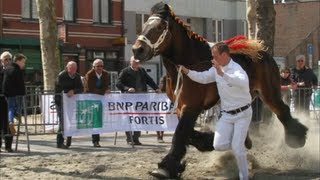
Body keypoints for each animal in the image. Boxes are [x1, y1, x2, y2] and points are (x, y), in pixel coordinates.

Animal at [132, 2, 308, 179]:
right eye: (144, 24)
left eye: (160, 26)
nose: (137, 50)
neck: (190, 62)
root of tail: (262, 51)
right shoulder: (181, 107)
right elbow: (189, 134)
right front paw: (204, 144)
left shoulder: (191, 107)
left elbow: (180, 133)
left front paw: (165, 168)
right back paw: (247, 140)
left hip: (269, 92)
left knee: (282, 110)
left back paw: (297, 138)